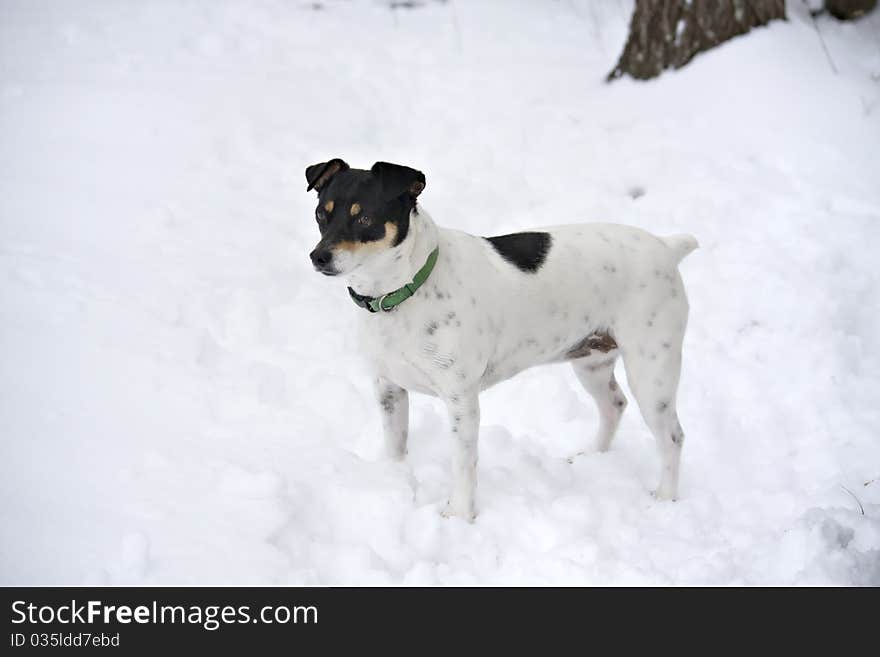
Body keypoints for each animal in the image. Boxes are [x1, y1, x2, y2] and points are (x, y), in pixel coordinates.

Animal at [306, 158, 696, 516]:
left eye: (365, 219)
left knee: (673, 436)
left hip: (651, 371)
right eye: (321, 214)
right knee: (614, 405)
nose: (318, 256)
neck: (401, 291)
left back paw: (665, 499)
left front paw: (459, 516)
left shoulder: (461, 400)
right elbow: (396, 445)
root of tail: (666, 246)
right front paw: (394, 481)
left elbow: (463, 463)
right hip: (592, 362)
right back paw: (591, 456)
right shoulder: (389, 388)